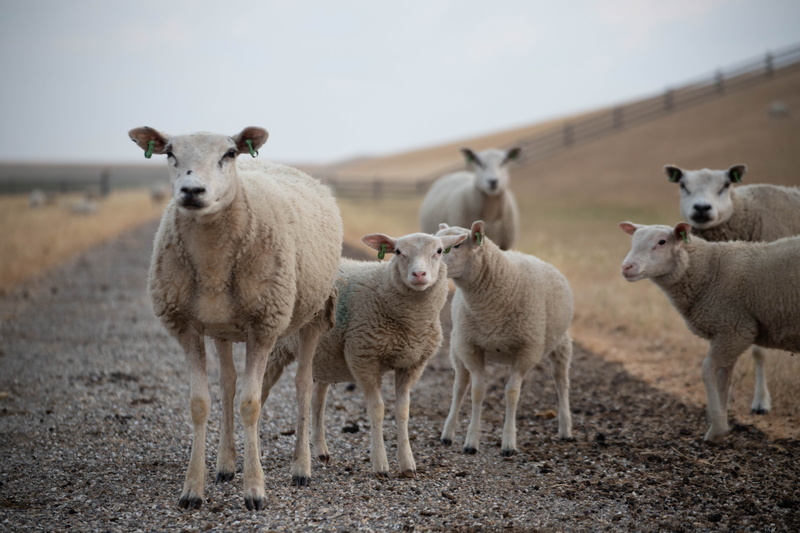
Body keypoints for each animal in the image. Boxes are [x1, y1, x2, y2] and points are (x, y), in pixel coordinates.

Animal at [128, 126, 343, 510]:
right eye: (169, 153)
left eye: (229, 154)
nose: (192, 191)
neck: (212, 260)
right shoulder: (187, 327)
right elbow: (201, 404)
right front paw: (192, 489)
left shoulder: (264, 326)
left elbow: (251, 404)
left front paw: (254, 489)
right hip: (222, 329)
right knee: (227, 383)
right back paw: (226, 464)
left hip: (315, 313)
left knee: (303, 384)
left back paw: (301, 467)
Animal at [261, 231, 468, 479]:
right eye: (398, 252)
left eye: (438, 251)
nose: (419, 274)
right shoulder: (363, 356)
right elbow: (377, 409)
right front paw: (381, 465)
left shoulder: (412, 364)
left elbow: (403, 411)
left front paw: (407, 464)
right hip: (277, 350)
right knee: (261, 392)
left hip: (324, 355)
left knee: (318, 400)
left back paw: (321, 450)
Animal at [437, 220, 574, 456]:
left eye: (457, 245)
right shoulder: (471, 347)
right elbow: (477, 391)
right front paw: (471, 442)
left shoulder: (526, 351)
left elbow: (512, 393)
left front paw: (509, 442)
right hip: (457, 346)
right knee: (459, 386)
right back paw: (447, 434)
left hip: (561, 344)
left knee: (561, 382)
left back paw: (565, 429)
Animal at [619, 221, 800, 442]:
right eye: (633, 240)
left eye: (662, 242)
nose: (626, 267)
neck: (710, 269)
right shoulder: (727, 333)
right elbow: (723, 378)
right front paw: (720, 424)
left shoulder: (735, 329)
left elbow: (707, 371)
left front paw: (717, 428)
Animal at [666, 164, 800, 415]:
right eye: (683, 185)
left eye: (726, 185)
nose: (701, 208)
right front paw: (723, 399)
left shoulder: (764, 296)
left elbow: (758, 352)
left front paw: (760, 402)